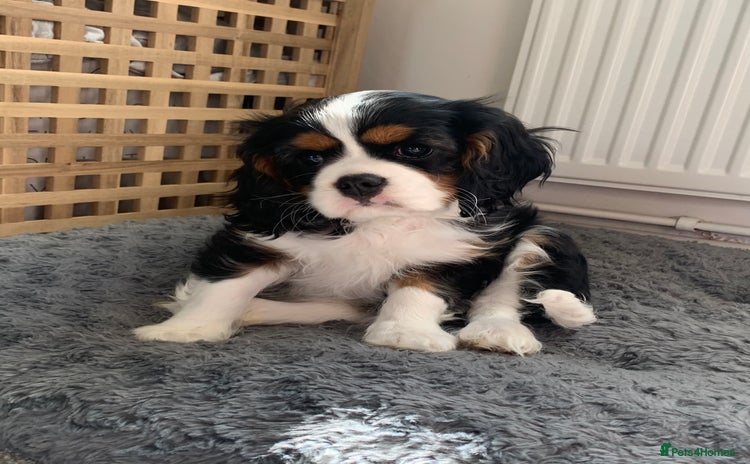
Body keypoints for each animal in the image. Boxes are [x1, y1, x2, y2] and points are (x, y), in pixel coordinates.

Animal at [133, 91, 596, 354]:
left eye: (414, 150)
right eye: (312, 157)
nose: (358, 180)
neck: (377, 223)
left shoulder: (457, 252)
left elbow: (418, 289)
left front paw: (405, 334)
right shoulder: (260, 239)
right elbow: (225, 285)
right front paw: (186, 330)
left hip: (536, 238)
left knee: (506, 293)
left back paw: (497, 333)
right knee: (331, 306)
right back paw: (253, 309)